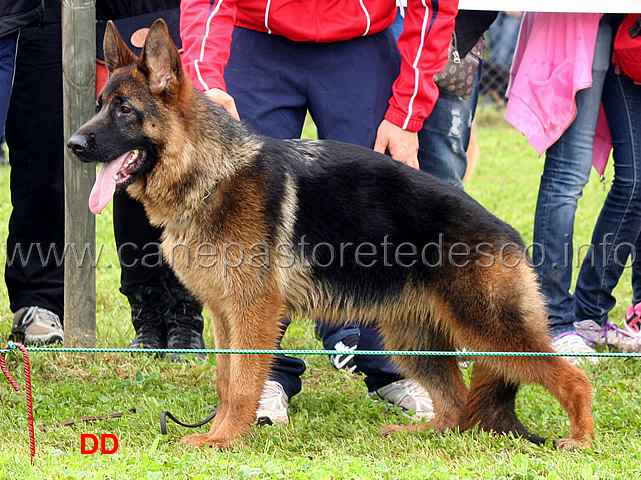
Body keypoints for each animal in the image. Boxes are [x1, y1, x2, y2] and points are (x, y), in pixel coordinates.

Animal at [67, 19, 592, 450]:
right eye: (100, 106)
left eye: (125, 110)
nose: (73, 144)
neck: (210, 174)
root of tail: (507, 233)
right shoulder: (223, 314)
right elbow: (225, 380)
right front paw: (221, 432)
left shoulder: (253, 313)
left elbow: (241, 383)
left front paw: (222, 439)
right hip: (413, 338)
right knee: (458, 404)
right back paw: (422, 433)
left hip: (488, 329)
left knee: (572, 378)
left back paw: (580, 440)